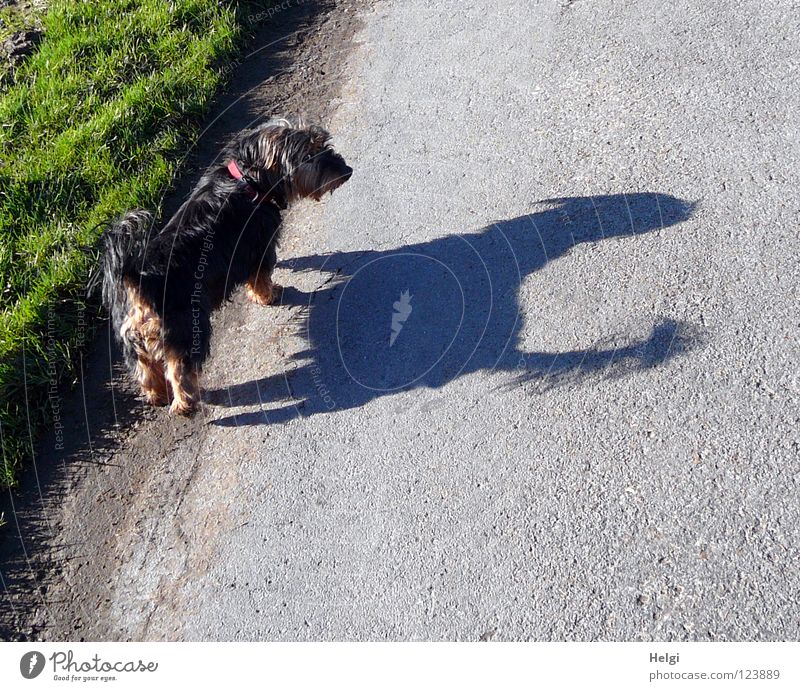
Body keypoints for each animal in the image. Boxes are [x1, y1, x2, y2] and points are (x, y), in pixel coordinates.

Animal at [95, 119, 352, 416]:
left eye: (324, 144)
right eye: (310, 154)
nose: (346, 171)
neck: (248, 181)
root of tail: (138, 280)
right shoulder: (259, 247)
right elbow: (260, 278)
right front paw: (269, 295)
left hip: (134, 342)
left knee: (146, 370)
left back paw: (157, 395)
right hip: (189, 328)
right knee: (180, 369)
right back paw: (185, 403)